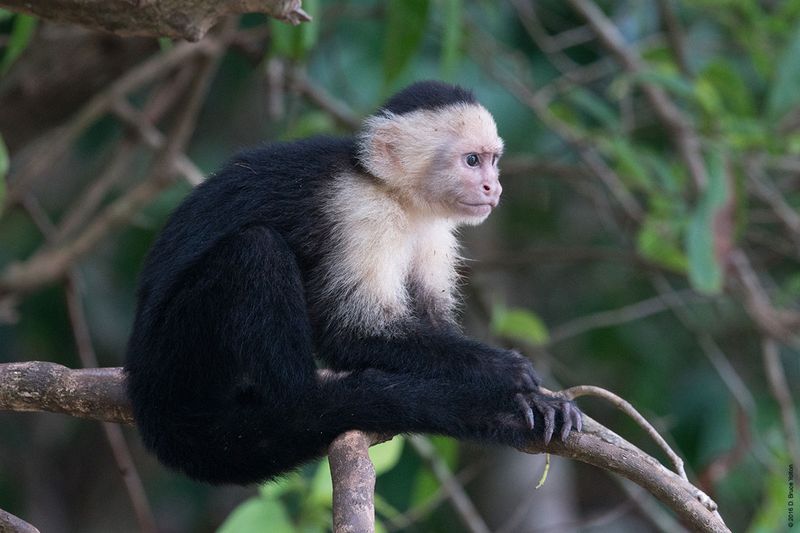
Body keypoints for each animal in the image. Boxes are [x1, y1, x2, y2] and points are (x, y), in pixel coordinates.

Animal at [125, 81, 580, 484]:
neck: (396, 195)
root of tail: (148, 400)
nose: (493, 187)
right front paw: (506, 372)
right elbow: (351, 334)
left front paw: (530, 395)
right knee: (255, 250)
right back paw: (308, 404)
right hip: (180, 352)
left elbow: (429, 320)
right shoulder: (360, 212)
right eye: (471, 161)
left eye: (493, 160)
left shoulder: (434, 229)